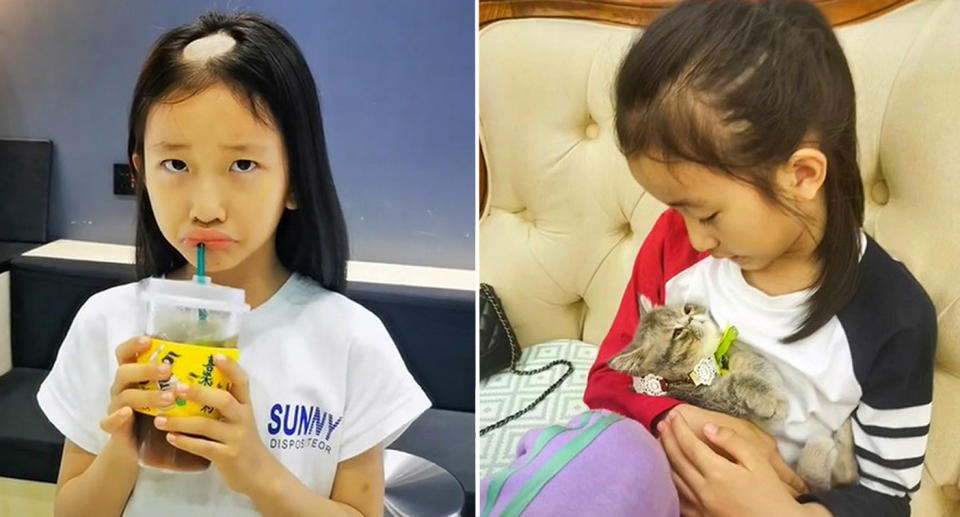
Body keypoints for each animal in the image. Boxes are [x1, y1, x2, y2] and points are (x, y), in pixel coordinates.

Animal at [608, 296, 856, 490]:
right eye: (677, 332)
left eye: (686, 310)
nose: (692, 319)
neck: (708, 367)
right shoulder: (716, 400)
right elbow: (739, 382)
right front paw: (773, 400)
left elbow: (757, 365)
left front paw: (770, 383)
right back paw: (822, 448)